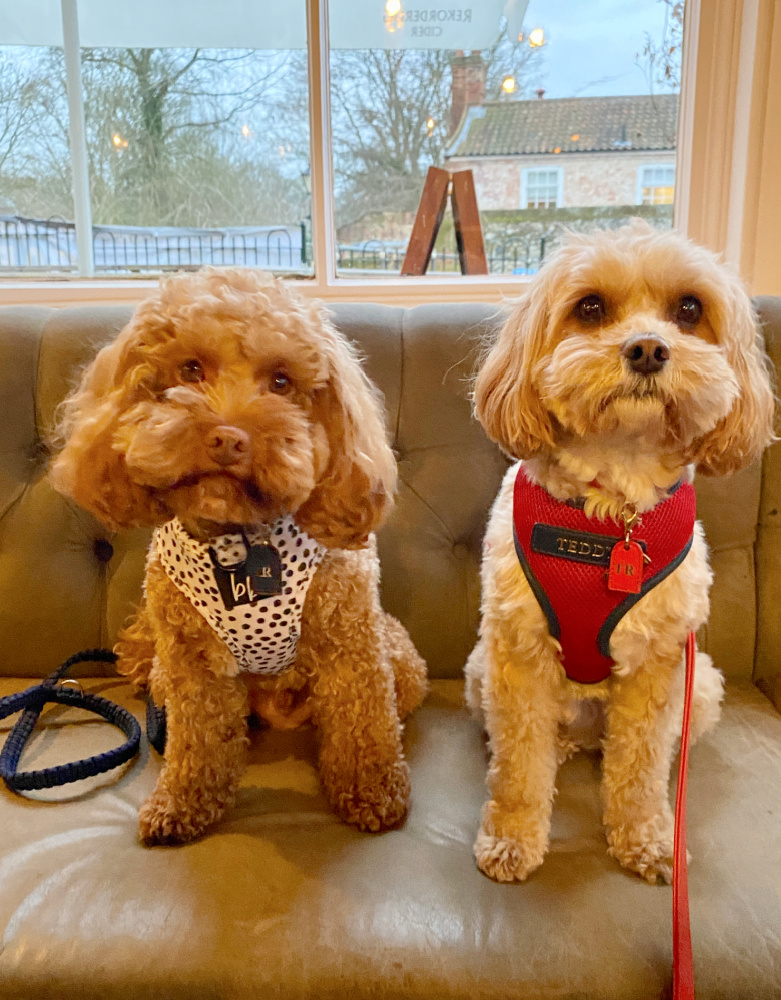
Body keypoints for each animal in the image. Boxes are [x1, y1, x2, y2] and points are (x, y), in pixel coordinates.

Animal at [50, 268, 426, 844]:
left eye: (281, 381)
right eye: (190, 369)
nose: (228, 440)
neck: (239, 539)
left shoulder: (351, 644)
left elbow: (362, 726)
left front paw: (372, 794)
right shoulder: (191, 666)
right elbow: (197, 743)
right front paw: (181, 804)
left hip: (399, 659)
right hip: (165, 674)